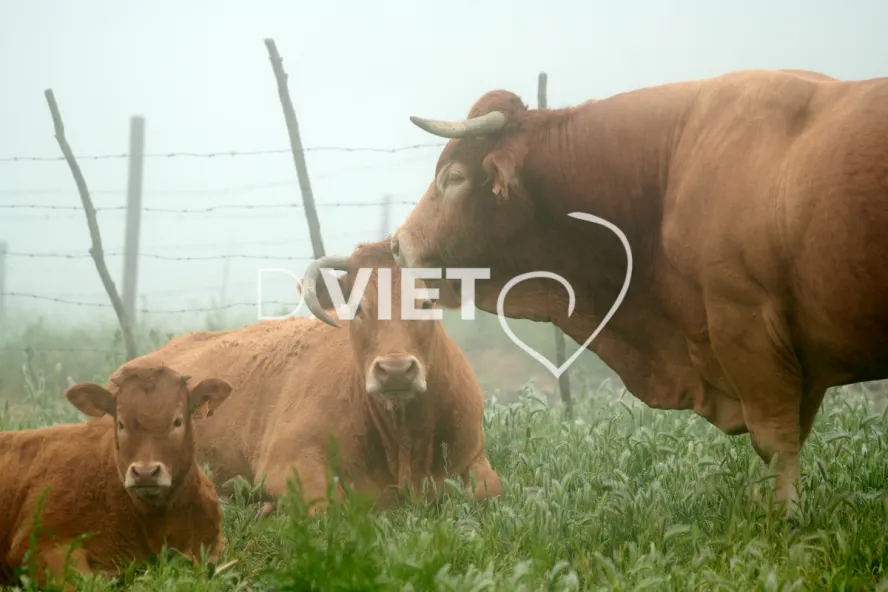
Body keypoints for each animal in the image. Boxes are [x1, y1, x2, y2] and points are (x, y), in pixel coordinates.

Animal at [111, 241, 502, 517]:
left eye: (426, 304)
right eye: (357, 307)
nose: (394, 370)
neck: (404, 446)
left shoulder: (474, 456)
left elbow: (489, 489)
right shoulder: (287, 463)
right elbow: (328, 505)